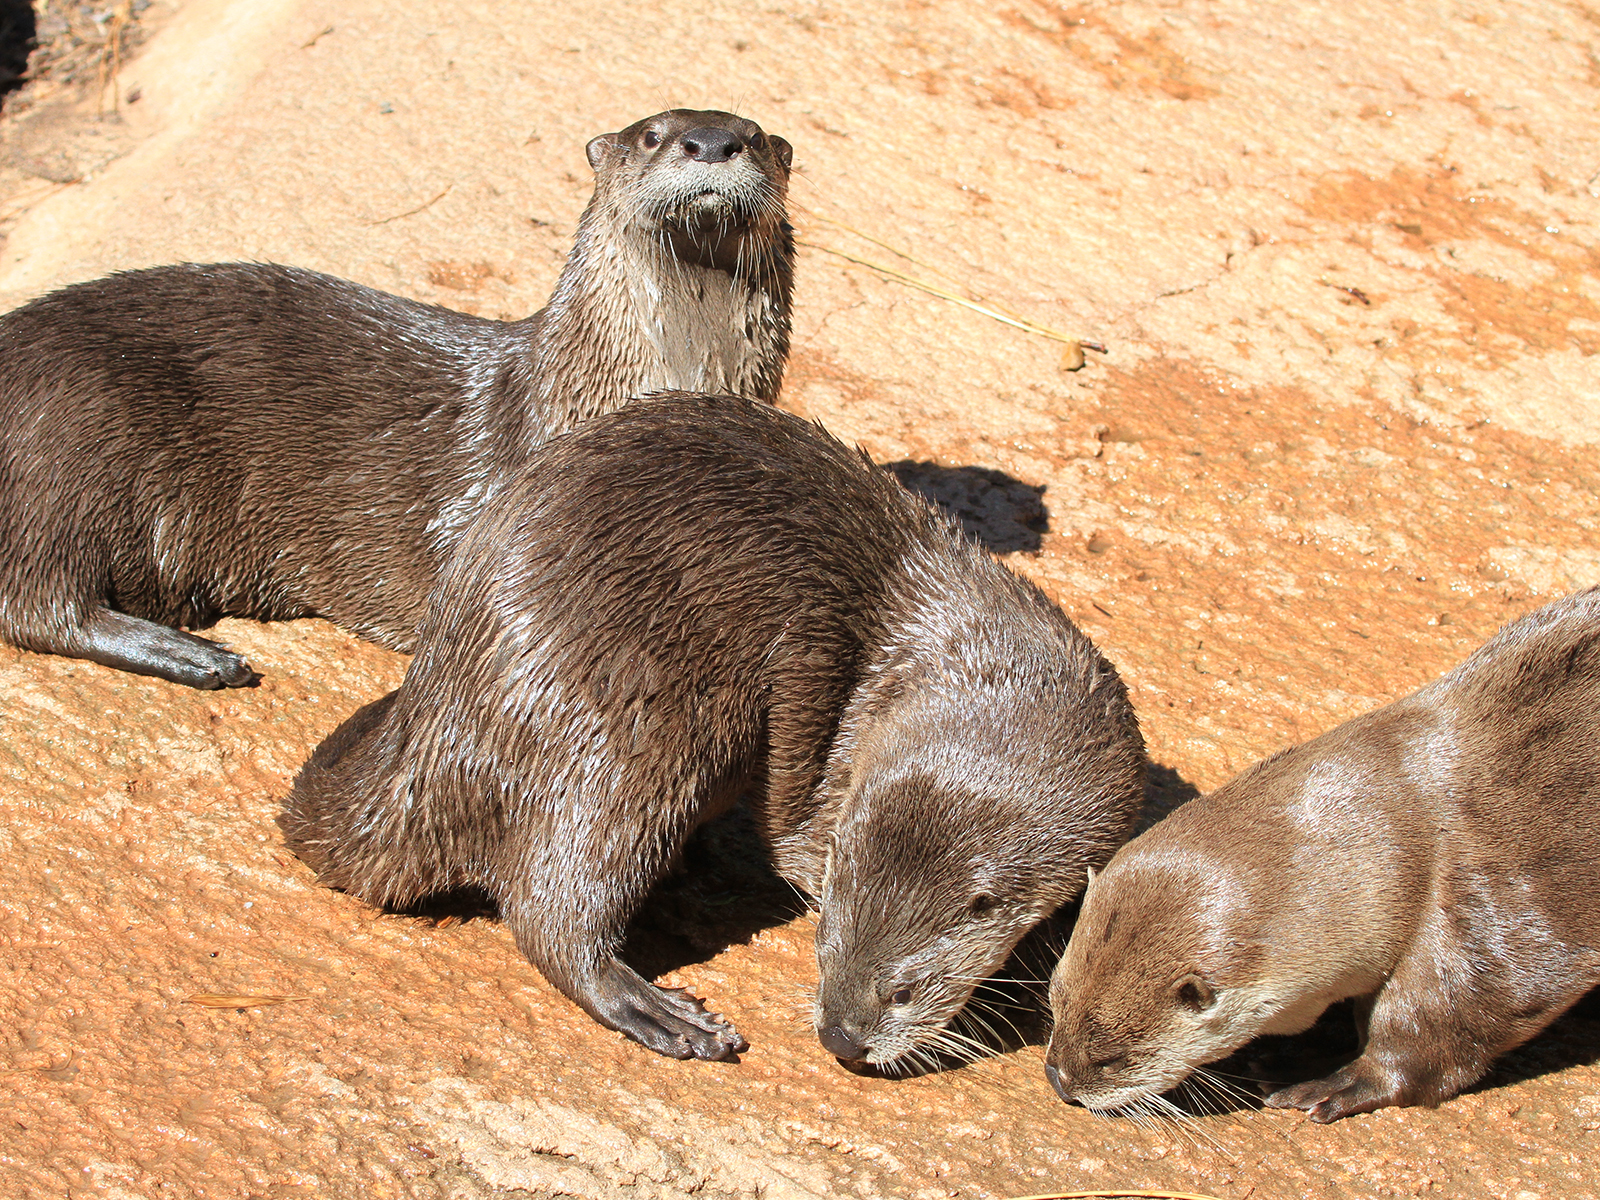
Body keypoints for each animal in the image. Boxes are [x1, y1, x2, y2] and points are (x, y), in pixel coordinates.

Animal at [0, 109, 793, 688]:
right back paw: (201, 657)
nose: (712, 142)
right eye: (652, 134)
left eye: (755, 137)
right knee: (36, 598)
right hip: (70, 431)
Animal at [280, 394, 1146, 1063]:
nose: (840, 1041)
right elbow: (794, 838)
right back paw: (660, 1010)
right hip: (621, 738)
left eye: (902, 991)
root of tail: (436, 723)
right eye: (823, 948)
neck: (978, 657)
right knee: (553, 908)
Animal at [1044, 586, 1600, 1122]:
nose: (1060, 1080)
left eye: (1112, 1059)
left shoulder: (1494, 905)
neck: (1412, 822)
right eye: (1053, 999)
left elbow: (1453, 1022)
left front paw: (1333, 1079)